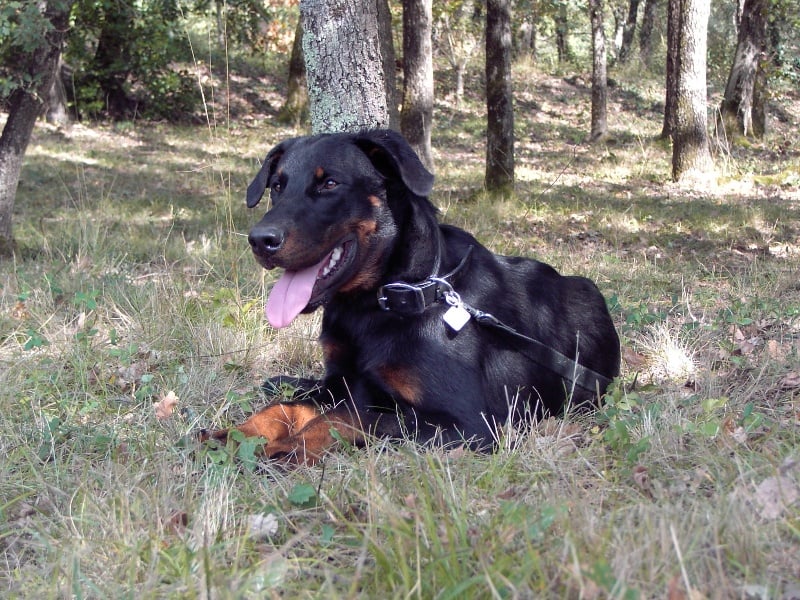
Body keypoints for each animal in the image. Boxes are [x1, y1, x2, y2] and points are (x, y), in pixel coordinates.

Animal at [203, 127, 620, 464]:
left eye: (330, 184)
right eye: (276, 186)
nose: (260, 241)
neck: (377, 306)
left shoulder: (469, 425)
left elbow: (353, 417)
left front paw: (292, 445)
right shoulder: (341, 382)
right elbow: (286, 406)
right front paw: (240, 433)